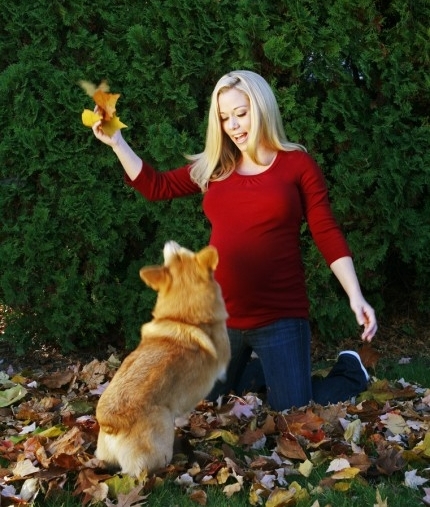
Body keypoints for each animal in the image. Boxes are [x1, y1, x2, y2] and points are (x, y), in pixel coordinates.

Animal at [94, 241, 228, 476]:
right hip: (163, 434)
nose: (169, 242)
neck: (183, 317)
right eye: (184, 252)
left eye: (176, 255)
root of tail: (110, 422)